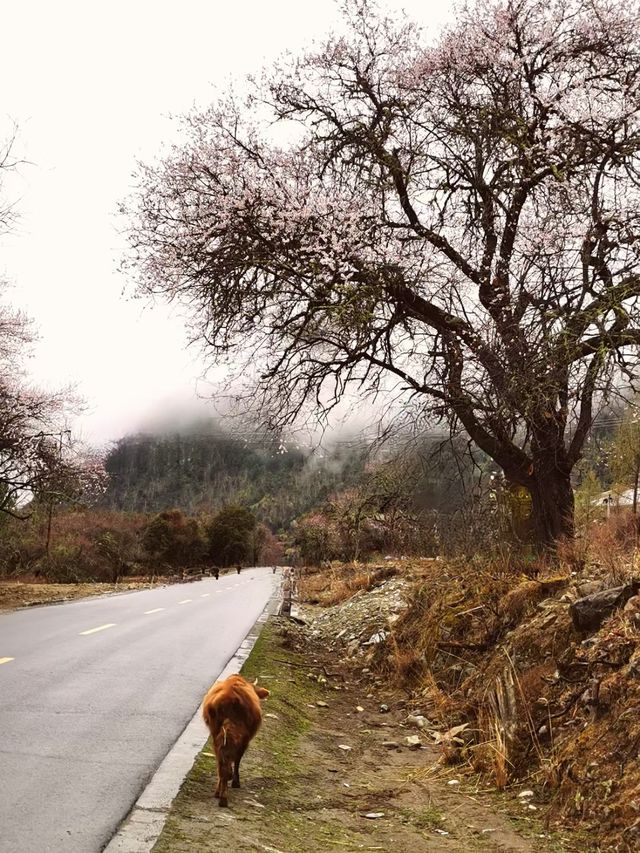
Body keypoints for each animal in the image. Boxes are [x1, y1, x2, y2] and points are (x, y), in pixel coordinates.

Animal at [201, 672, 268, 804]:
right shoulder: (245, 740)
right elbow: (237, 759)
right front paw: (235, 781)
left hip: (216, 733)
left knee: (221, 763)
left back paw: (219, 793)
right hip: (238, 736)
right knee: (228, 762)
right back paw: (224, 796)